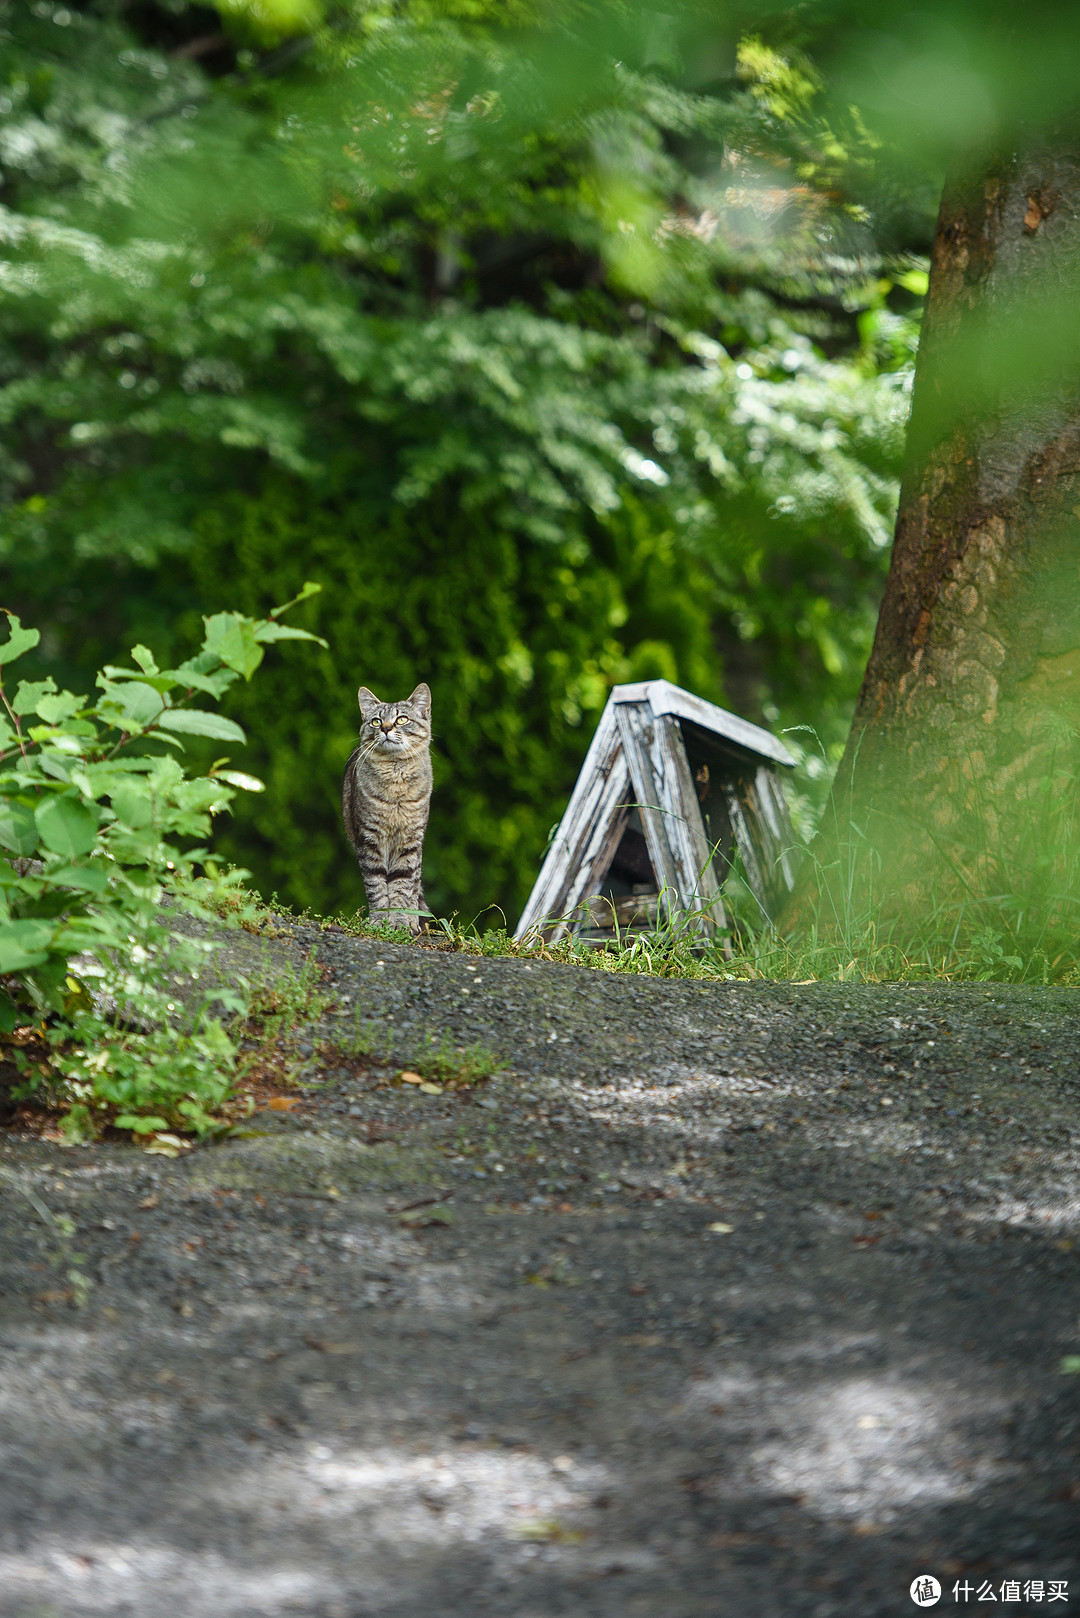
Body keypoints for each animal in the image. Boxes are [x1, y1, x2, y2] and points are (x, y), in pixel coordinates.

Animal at [344, 682, 433, 938]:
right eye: (376, 721)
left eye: (402, 719)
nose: (385, 728)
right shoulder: (369, 840)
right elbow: (376, 887)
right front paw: (380, 922)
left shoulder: (408, 843)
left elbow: (402, 887)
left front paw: (401, 923)